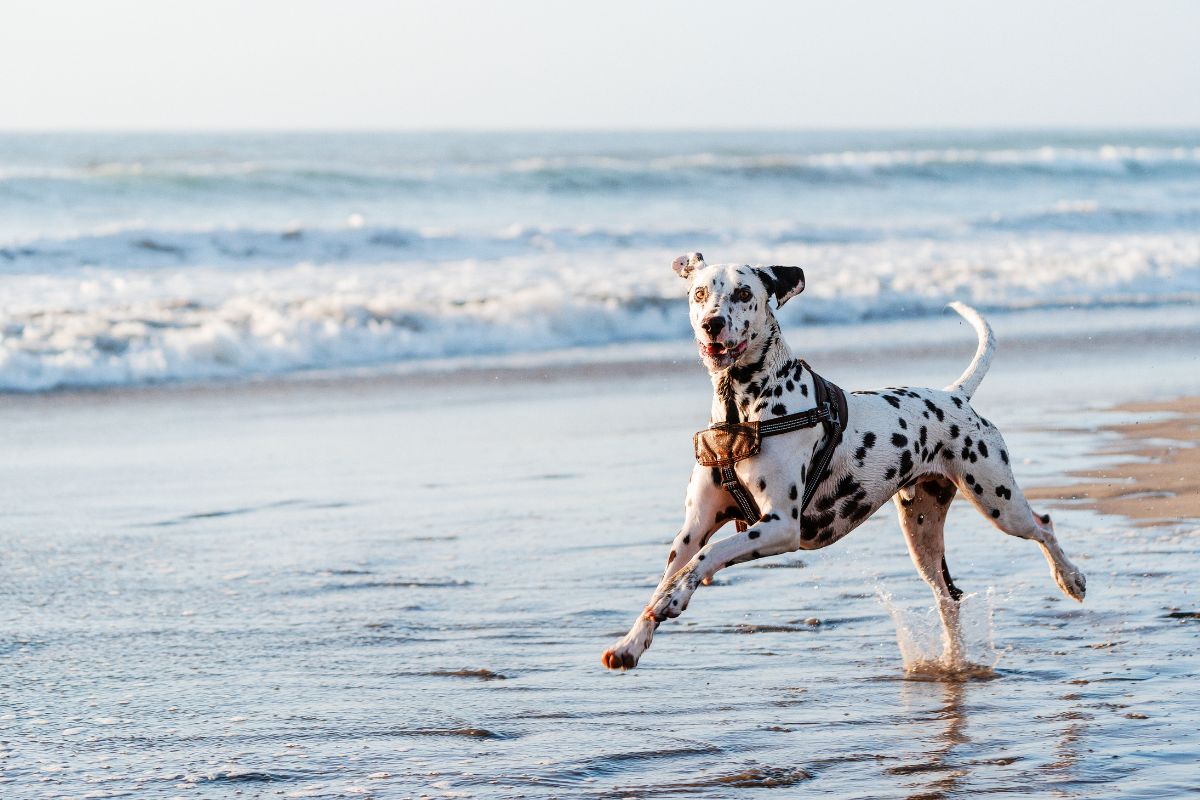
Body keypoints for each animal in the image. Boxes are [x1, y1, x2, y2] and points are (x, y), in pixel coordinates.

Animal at [600, 253, 1089, 671]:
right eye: (700, 293)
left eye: (742, 293)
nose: (712, 324)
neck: (742, 410)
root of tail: (955, 395)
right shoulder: (693, 527)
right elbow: (674, 569)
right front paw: (631, 642)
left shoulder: (780, 526)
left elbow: (709, 555)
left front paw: (675, 599)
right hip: (923, 533)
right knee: (947, 596)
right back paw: (952, 660)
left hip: (998, 501)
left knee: (1043, 526)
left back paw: (1070, 579)